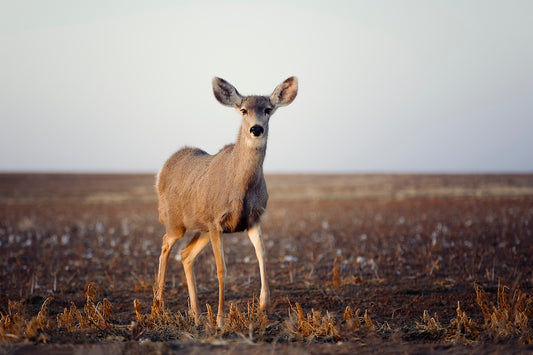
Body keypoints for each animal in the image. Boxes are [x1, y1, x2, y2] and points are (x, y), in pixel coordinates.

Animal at [154, 76, 298, 326]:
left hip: (200, 228)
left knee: (186, 255)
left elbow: (262, 255)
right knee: (165, 245)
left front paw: (263, 304)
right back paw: (158, 306)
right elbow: (221, 270)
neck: (240, 187)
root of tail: (162, 171)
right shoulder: (215, 221)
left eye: (267, 109)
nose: (256, 129)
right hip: (175, 222)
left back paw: (196, 313)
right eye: (243, 110)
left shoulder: (253, 219)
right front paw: (221, 318)